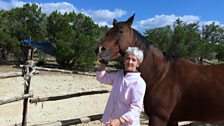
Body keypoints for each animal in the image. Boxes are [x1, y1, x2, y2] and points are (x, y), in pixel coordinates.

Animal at [96, 14, 224, 126]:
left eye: (121, 31)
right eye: (107, 33)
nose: (99, 49)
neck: (161, 75)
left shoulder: (158, 118)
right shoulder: (172, 120)